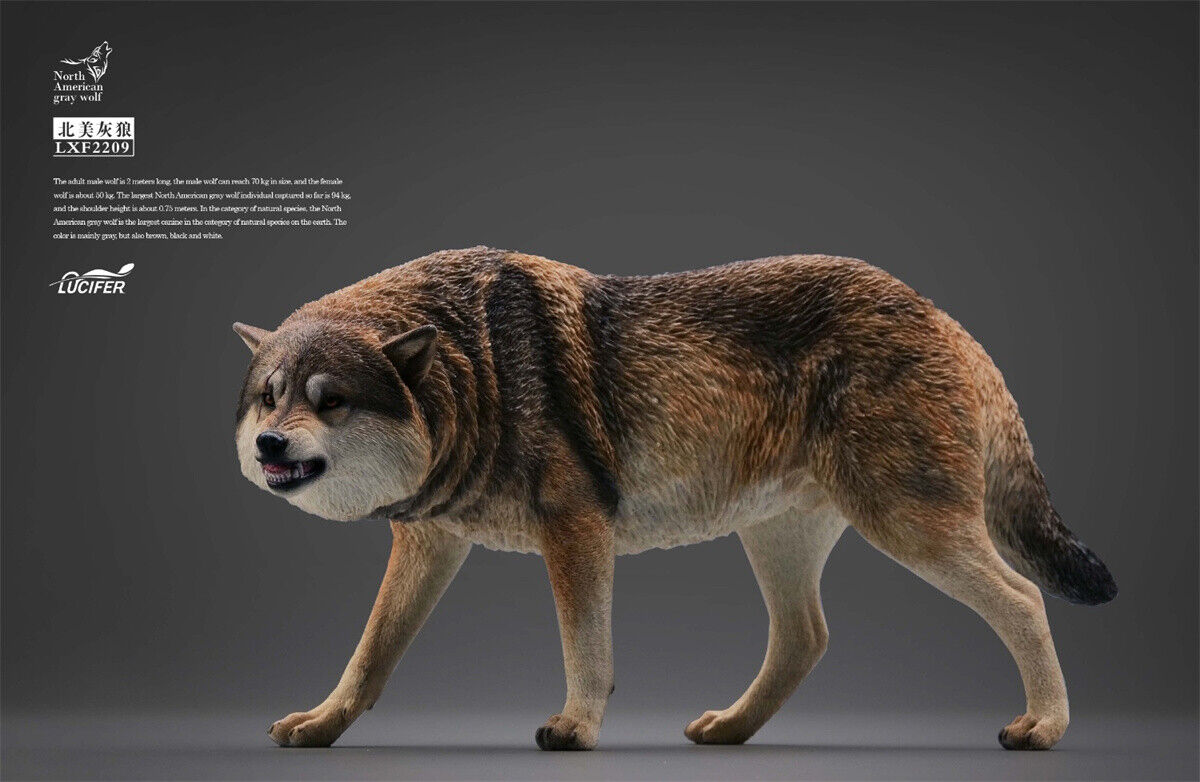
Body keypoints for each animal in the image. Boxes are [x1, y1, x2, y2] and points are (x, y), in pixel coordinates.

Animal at [233, 246, 1116, 752]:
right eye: (268, 396)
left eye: (330, 400)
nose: (268, 446)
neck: (473, 367)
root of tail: (940, 314)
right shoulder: (430, 542)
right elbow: (368, 655)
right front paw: (320, 724)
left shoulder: (576, 528)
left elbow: (585, 648)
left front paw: (577, 727)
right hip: (780, 540)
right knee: (807, 636)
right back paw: (730, 729)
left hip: (910, 525)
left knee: (1024, 598)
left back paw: (1045, 727)